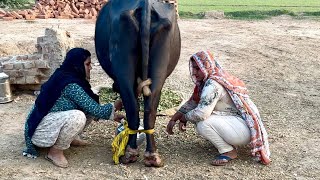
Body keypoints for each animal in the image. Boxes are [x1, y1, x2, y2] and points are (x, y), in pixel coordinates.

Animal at [94, 0, 180, 167]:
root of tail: (145, 5)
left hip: (125, 67)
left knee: (134, 108)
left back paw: (131, 153)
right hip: (158, 69)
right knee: (148, 109)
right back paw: (149, 155)